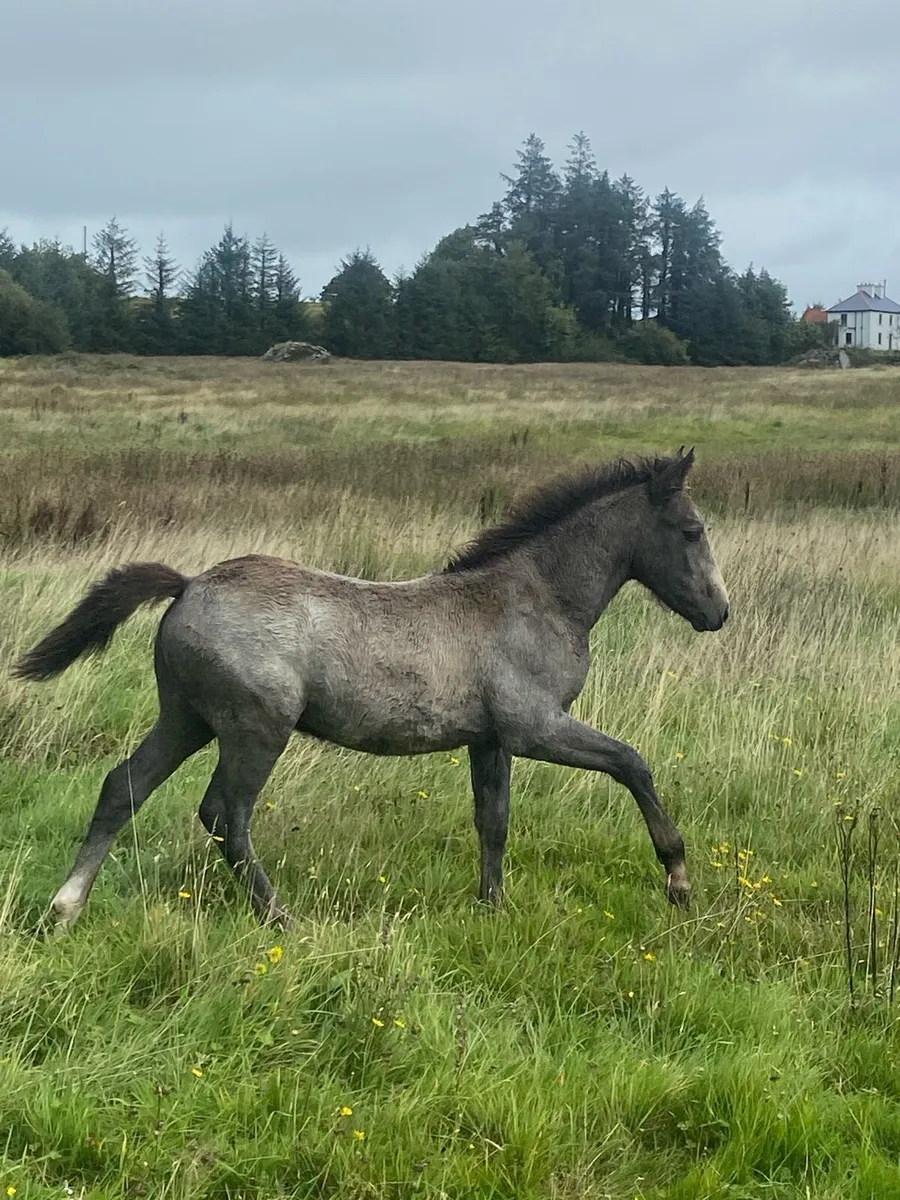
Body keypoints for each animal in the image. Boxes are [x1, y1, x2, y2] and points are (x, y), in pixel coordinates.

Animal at [12, 447, 728, 930]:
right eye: (691, 531)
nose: (719, 612)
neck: (538, 599)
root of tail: (189, 585)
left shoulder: (490, 738)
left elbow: (493, 821)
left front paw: (493, 906)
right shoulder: (536, 727)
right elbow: (632, 763)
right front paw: (678, 878)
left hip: (186, 718)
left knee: (123, 787)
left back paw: (65, 907)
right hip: (254, 728)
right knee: (225, 814)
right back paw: (280, 918)